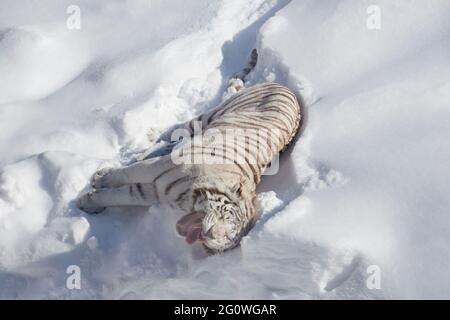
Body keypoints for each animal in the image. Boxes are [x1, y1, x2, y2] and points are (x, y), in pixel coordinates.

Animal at [78, 50, 302, 254]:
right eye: (224, 215)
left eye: (229, 237)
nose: (210, 235)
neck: (186, 198)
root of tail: (284, 87)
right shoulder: (159, 168)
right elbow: (126, 174)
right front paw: (99, 180)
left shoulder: (154, 192)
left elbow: (124, 195)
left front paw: (89, 202)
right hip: (207, 118)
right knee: (175, 131)